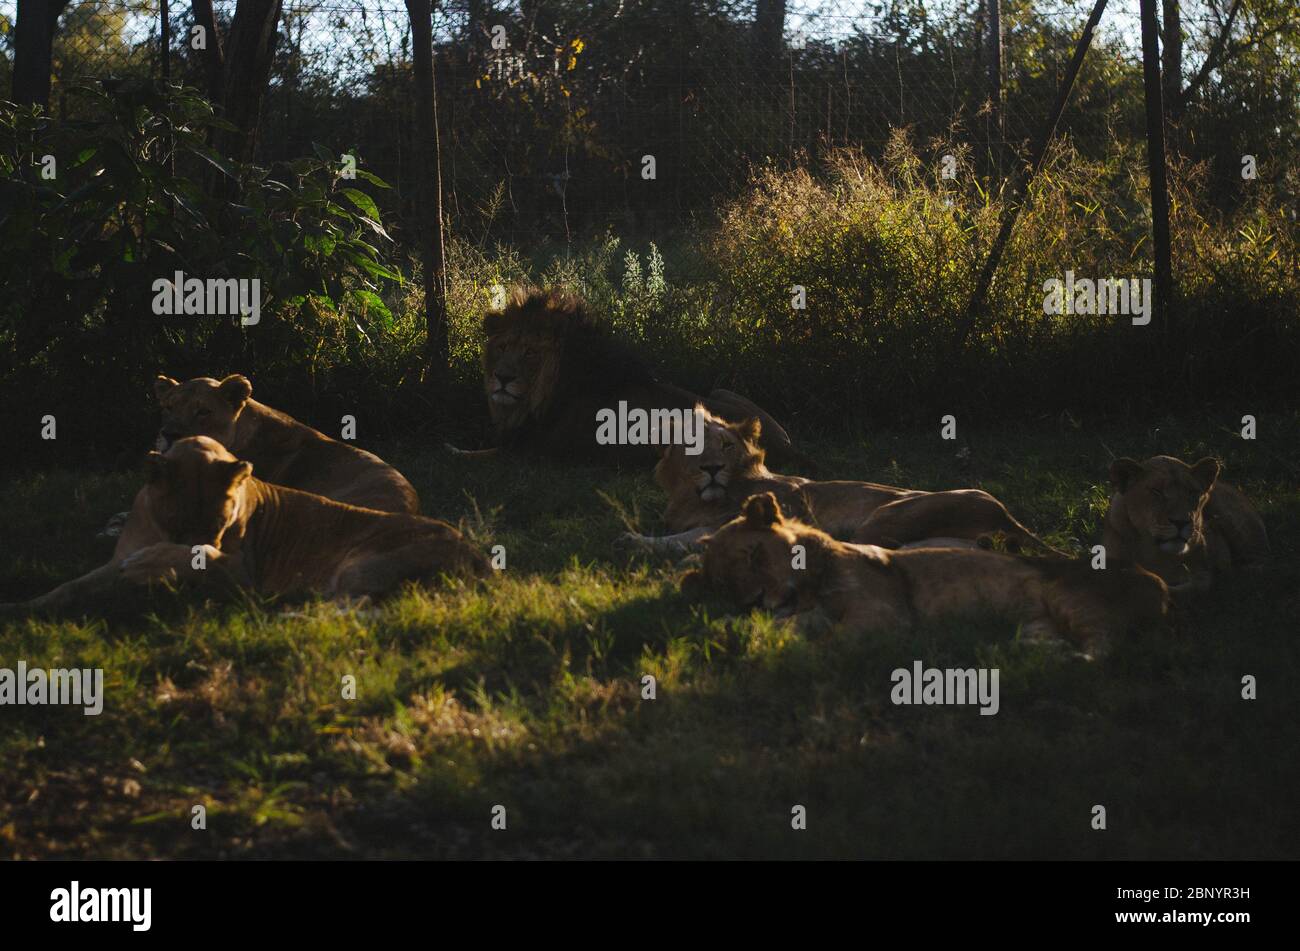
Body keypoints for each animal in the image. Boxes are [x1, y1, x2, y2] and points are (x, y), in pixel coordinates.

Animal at [6, 439, 488, 615]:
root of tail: (479, 554)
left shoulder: (240, 573)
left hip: (359, 563)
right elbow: (70, 587)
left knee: (358, 608)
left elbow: (193, 558)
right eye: (176, 521)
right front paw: (23, 607)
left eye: (220, 526)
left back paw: (285, 612)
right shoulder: (111, 564)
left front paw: (154, 566)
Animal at [452, 288, 806, 470]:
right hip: (722, 391)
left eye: (529, 353)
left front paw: (453, 450)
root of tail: (788, 449)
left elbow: (477, 455)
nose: (501, 377)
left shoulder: (536, 454)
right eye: (502, 347)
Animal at [613, 407, 1060, 556]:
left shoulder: (780, 505)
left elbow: (689, 537)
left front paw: (636, 542)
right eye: (693, 446)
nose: (711, 468)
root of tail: (1007, 515)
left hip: (887, 515)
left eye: (725, 445)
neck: (694, 499)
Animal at [681, 491, 1170, 654]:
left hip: (1070, 599)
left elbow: (827, 640)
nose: (755, 601)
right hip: (1037, 624)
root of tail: (1161, 583)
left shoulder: (883, 615)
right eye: (724, 585)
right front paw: (731, 632)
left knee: (1103, 646)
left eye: (753, 555)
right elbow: (786, 627)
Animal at [1097, 454, 1268, 595]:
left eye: (1192, 492)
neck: (1156, 554)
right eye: (1156, 491)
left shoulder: (1202, 574)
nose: (1181, 522)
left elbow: (1188, 588)